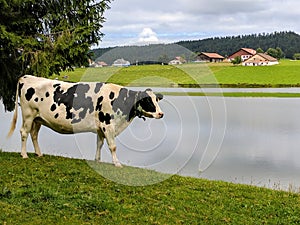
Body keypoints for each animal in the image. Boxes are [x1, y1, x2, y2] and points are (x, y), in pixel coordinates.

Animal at [6, 75, 164, 167]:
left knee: (34, 134)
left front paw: (97, 160)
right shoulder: (108, 124)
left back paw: (39, 154)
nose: (161, 114)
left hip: (38, 118)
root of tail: (26, 76)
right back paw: (24, 155)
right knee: (24, 132)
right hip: (28, 114)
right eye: (148, 101)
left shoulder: (100, 127)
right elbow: (112, 146)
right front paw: (117, 163)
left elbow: (99, 144)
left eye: (156, 99)